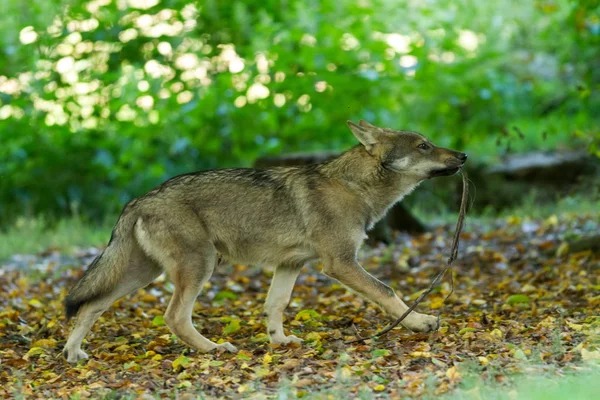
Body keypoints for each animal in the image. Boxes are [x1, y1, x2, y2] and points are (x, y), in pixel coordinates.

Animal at [64, 119, 468, 362]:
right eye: (423, 146)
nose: (464, 155)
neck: (354, 187)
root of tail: (140, 198)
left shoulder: (291, 265)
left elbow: (275, 306)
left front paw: (279, 342)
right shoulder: (340, 264)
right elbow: (387, 291)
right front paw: (420, 323)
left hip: (141, 274)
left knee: (89, 307)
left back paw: (73, 354)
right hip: (198, 267)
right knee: (174, 316)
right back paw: (214, 348)